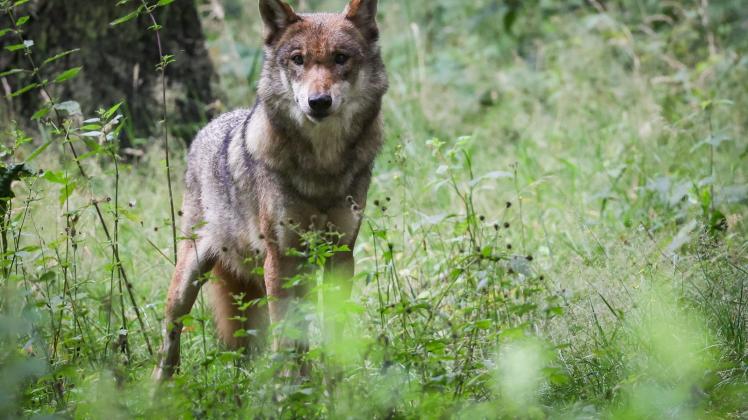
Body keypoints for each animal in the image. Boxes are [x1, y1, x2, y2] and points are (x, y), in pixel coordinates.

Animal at [152, 0, 388, 380]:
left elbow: (332, 333)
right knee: (169, 342)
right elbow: (286, 338)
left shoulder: (339, 255)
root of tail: (208, 127)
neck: (322, 168)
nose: (318, 101)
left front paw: (334, 387)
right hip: (189, 279)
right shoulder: (281, 258)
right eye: (298, 59)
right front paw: (291, 389)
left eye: (340, 58)